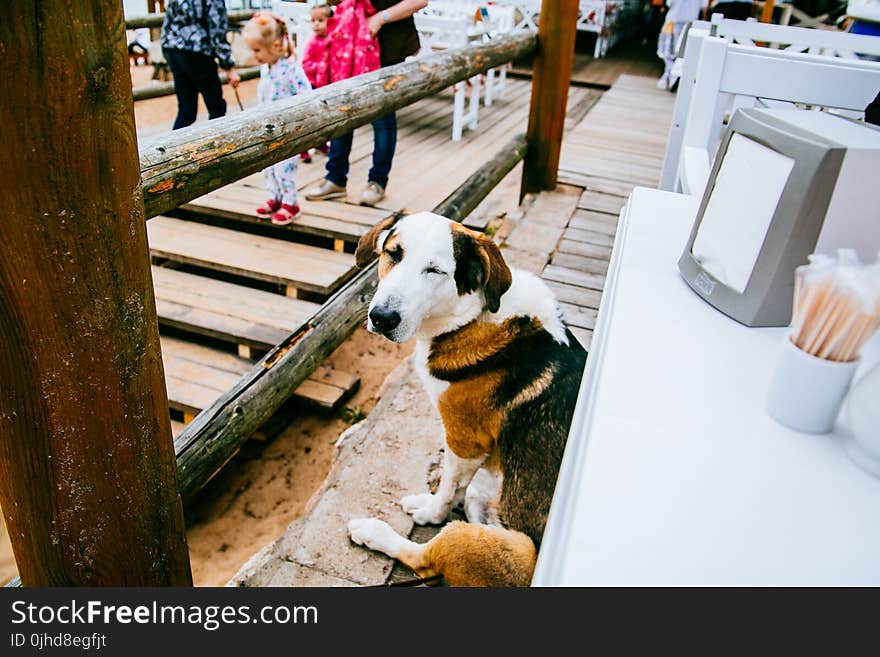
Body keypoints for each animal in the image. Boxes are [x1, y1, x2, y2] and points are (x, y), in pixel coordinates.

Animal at [348, 210, 588, 584]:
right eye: (393, 254)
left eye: (435, 271)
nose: (382, 318)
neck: (473, 317)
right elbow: (455, 486)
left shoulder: (465, 441)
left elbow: (448, 486)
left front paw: (431, 511)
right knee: (475, 501)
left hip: (496, 546)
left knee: (426, 559)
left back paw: (374, 532)